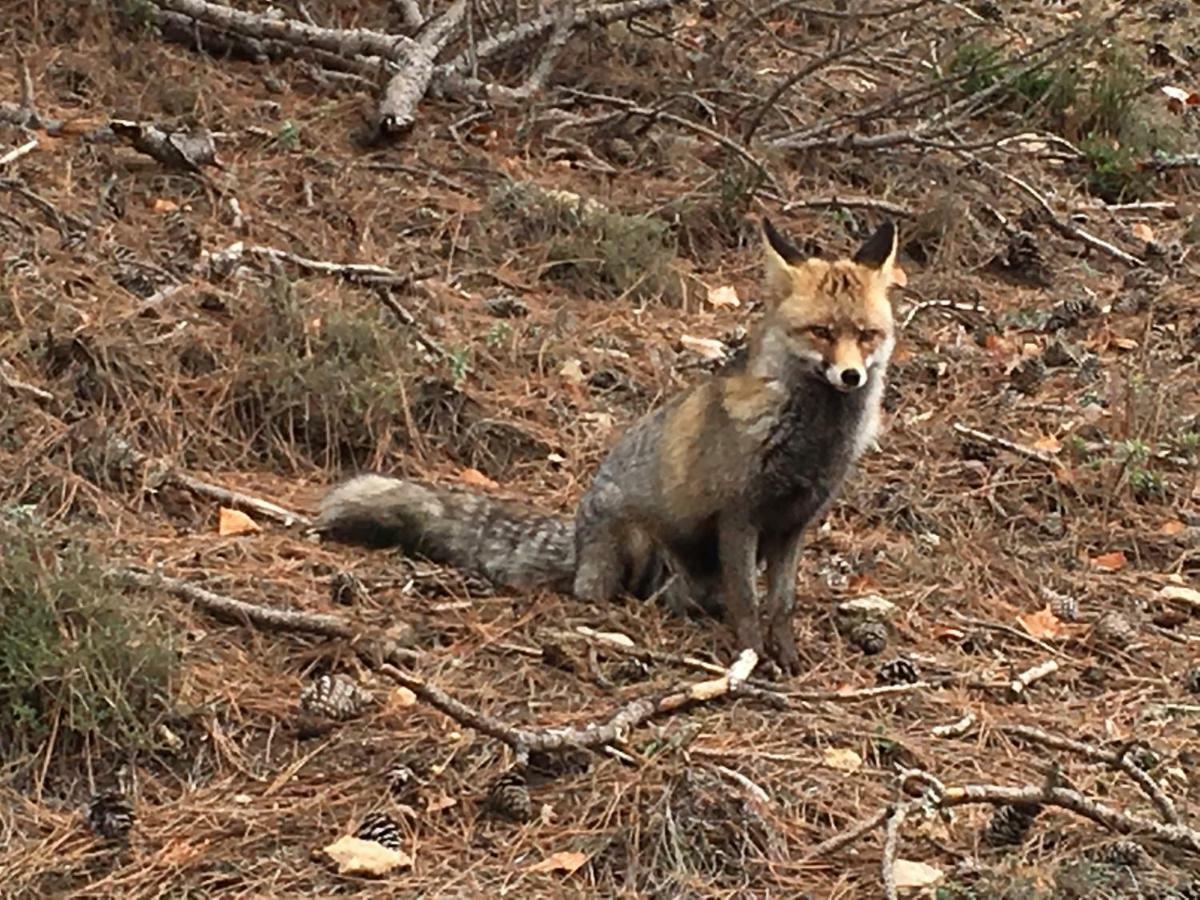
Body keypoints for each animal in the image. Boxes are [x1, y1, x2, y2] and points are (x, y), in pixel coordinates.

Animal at [319, 214, 902, 672]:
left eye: (866, 335)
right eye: (821, 333)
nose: (851, 376)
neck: (809, 441)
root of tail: (577, 540)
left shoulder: (792, 525)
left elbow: (781, 605)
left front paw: (788, 658)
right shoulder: (738, 517)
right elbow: (748, 603)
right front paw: (752, 657)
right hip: (641, 546)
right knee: (627, 593)